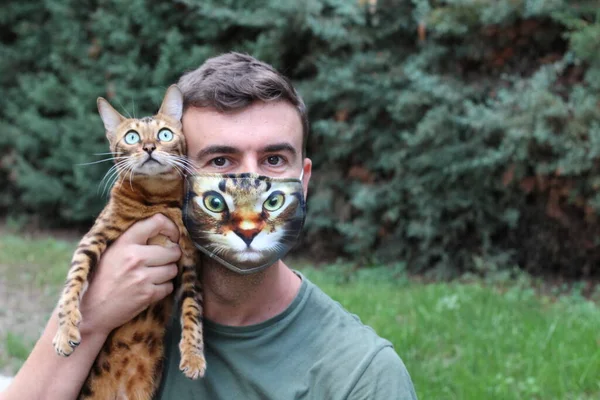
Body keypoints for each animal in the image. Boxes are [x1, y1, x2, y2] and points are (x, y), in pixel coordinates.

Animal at [52, 85, 206, 400]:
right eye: (132, 137)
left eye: (164, 134)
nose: (148, 147)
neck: (156, 201)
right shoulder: (95, 237)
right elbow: (73, 282)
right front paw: (65, 331)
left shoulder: (189, 262)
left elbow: (192, 309)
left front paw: (194, 356)